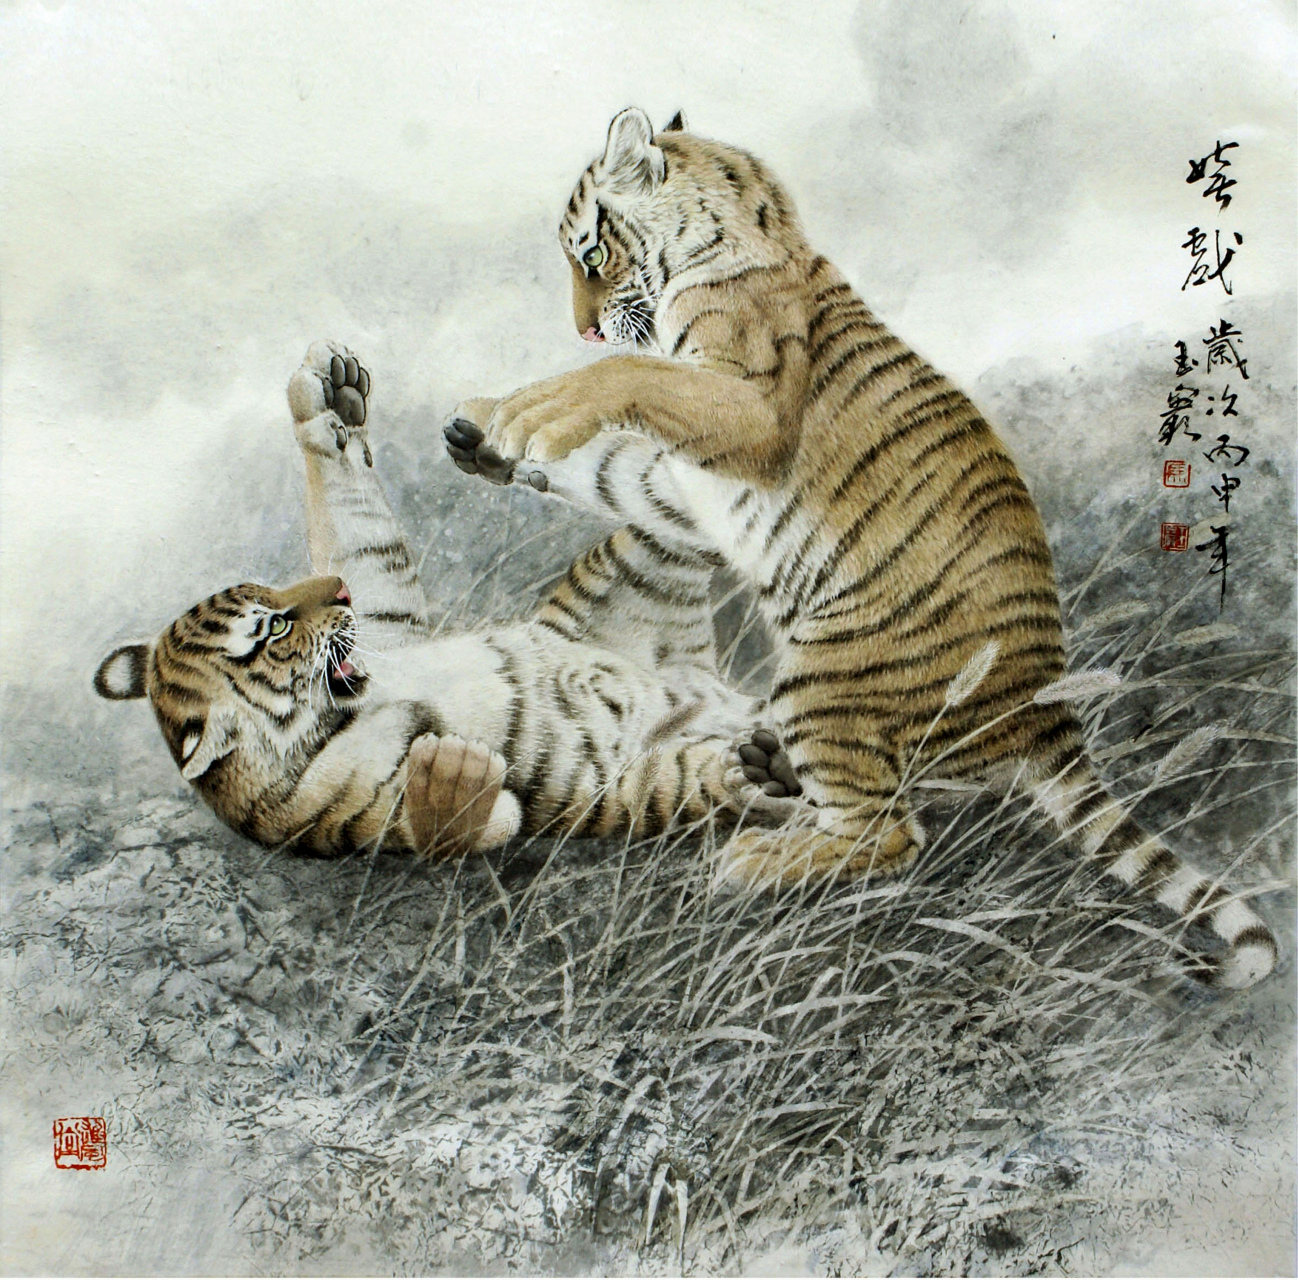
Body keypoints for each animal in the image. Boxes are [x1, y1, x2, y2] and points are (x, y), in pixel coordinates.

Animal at [94, 341, 802, 861]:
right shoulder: (344, 816)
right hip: (648, 766)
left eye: (270, 591)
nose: (338, 594)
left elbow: (362, 538)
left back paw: (492, 436)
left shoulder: (386, 622)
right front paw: (451, 771)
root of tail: (712, 684)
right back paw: (768, 767)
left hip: (639, 558)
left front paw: (326, 399)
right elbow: (469, 822)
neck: (343, 708)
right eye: (271, 628)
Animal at [442, 109, 1277, 988]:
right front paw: (482, 432)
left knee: (892, 832)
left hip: (826, 679)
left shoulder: (747, 414)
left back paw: (755, 859)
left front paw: (526, 416)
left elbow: (629, 375)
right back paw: (765, 782)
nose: (583, 327)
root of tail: (1045, 708)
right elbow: (612, 465)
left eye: (591, 253)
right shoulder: (681, 486)